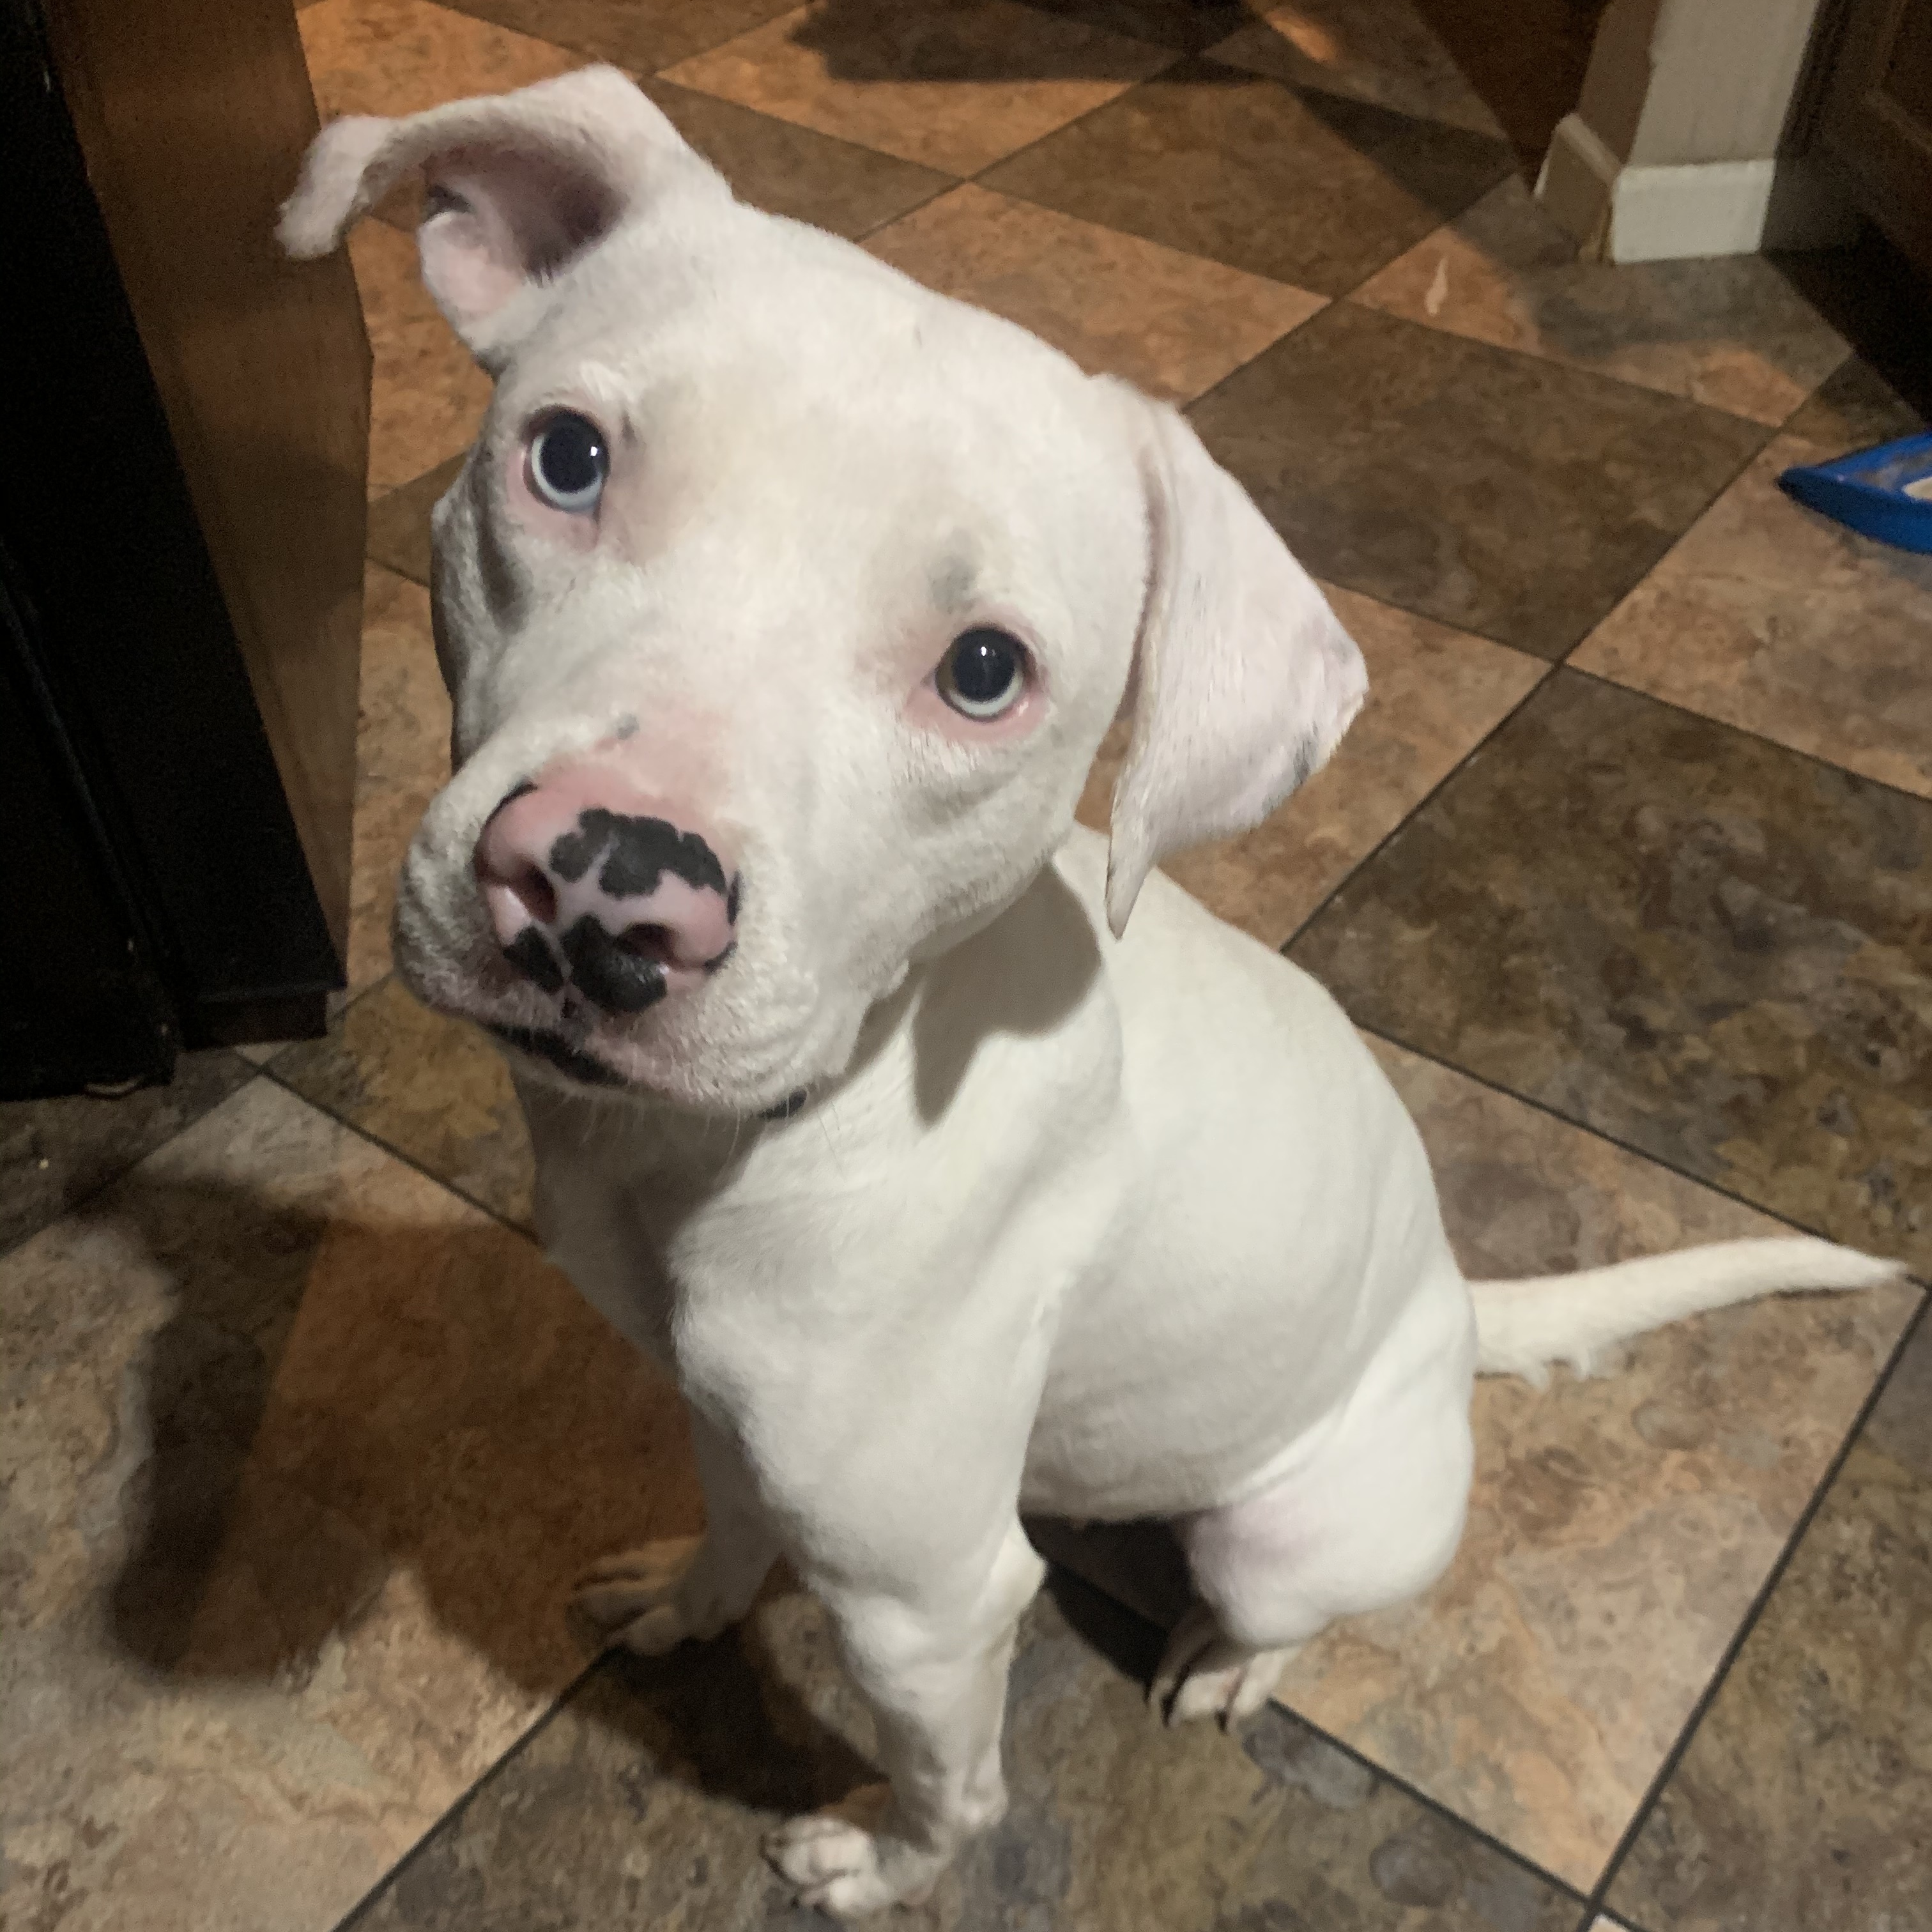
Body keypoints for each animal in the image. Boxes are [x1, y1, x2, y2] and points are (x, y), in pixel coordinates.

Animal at [286, 71, 1901, 1916]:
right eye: (567, 458)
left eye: (987, 671)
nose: (603, 886)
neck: (781, 1124)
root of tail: (1449, 1310)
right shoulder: (741, 1430)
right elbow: (738, 1525)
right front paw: (688, 1602)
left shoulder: (927, 1605)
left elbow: (952, 1784)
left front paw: (883, 1865)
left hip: (1287, 1533)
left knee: (1287, 1610)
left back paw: (1226, 1666)